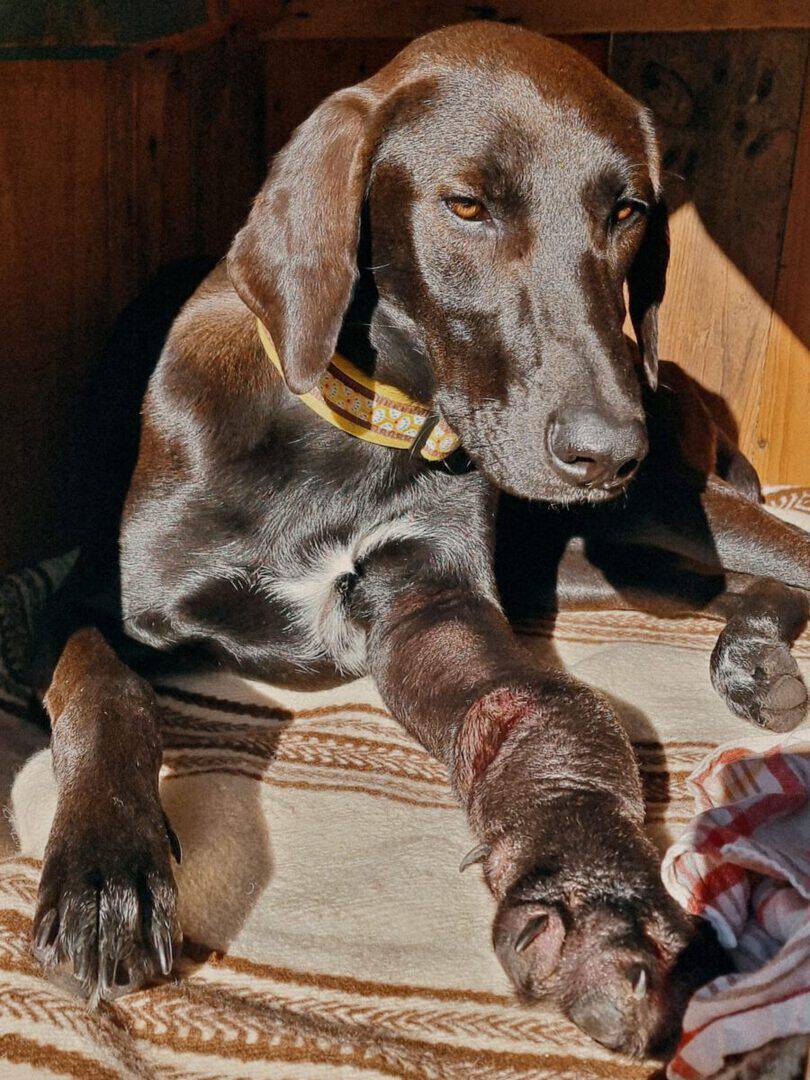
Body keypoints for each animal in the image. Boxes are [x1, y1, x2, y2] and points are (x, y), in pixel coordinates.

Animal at [29, 22, 809, 1058]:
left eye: (627, 211)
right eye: (467, 206)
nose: (609, 449)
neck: (354, 427)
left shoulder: (431, 606)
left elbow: (549, 709)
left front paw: (594, 898)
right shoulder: (76, 606)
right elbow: (105, 688)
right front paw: (105, 868)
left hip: (652, 508)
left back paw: (756, 655)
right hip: (590, 554)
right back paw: (751, 649)